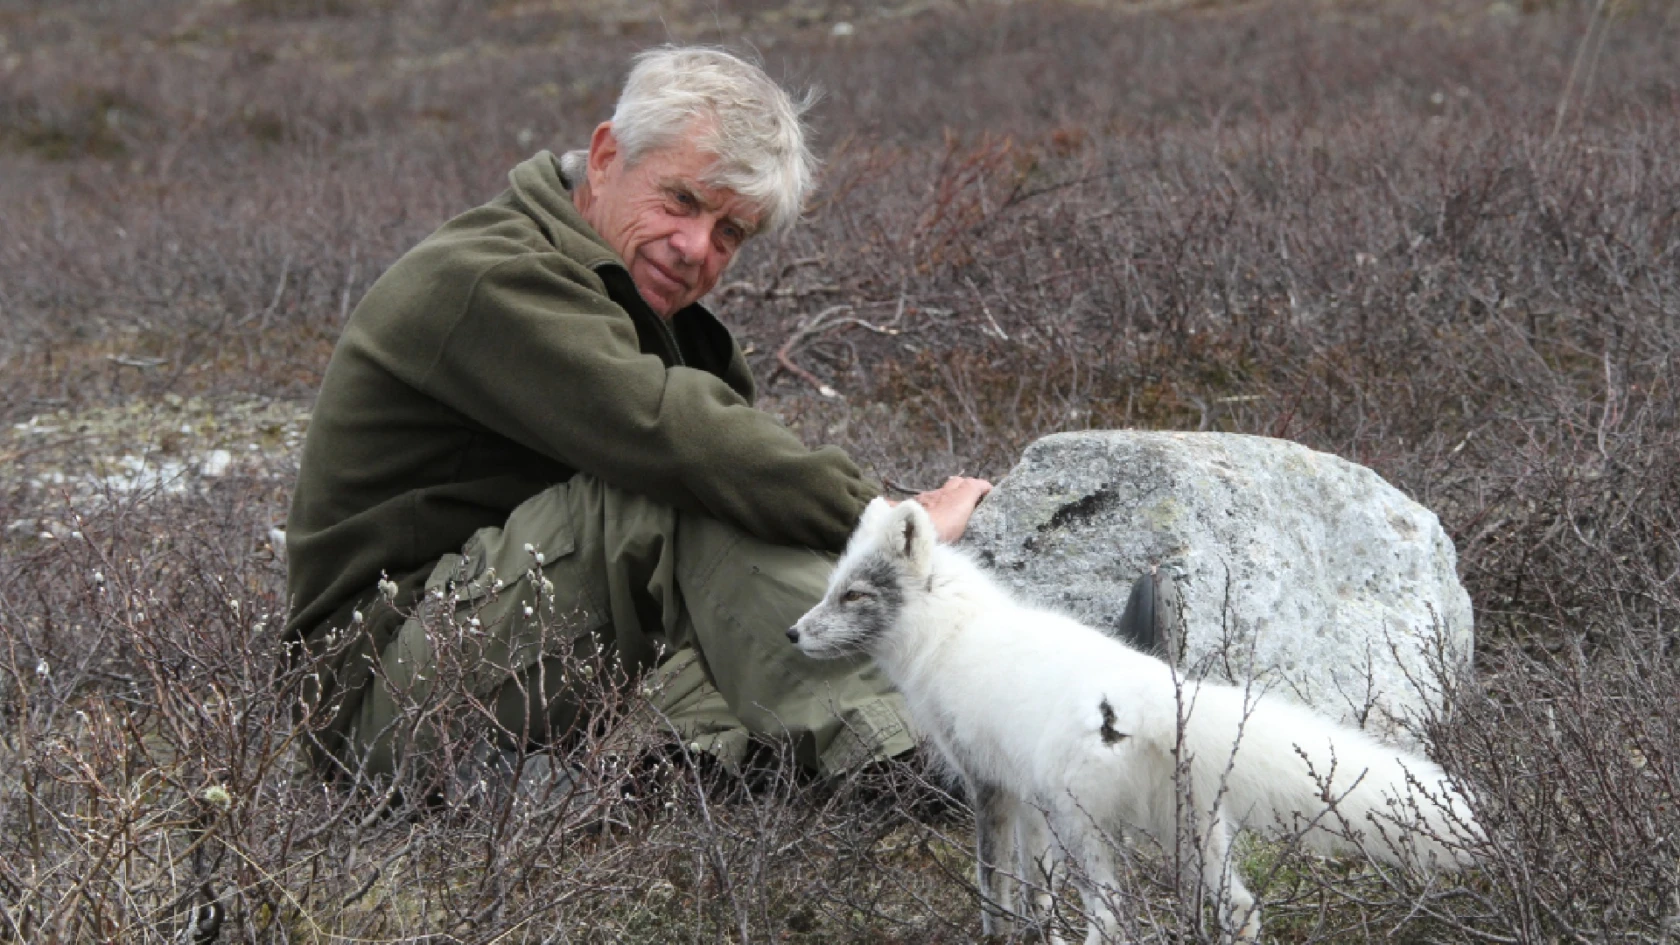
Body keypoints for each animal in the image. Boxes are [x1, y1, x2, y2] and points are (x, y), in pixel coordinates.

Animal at [788, 498, 1480, 944]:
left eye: (853, 595)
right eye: (831, 588)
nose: (792, 634)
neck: (951, 633)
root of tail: (1151, 693)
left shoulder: (992, 790)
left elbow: (997, 898)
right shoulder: (1028, 801)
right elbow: (1038, 897)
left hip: (1088, 827)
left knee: (1111, 919)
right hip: (1189, 835)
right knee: (1241, 910)